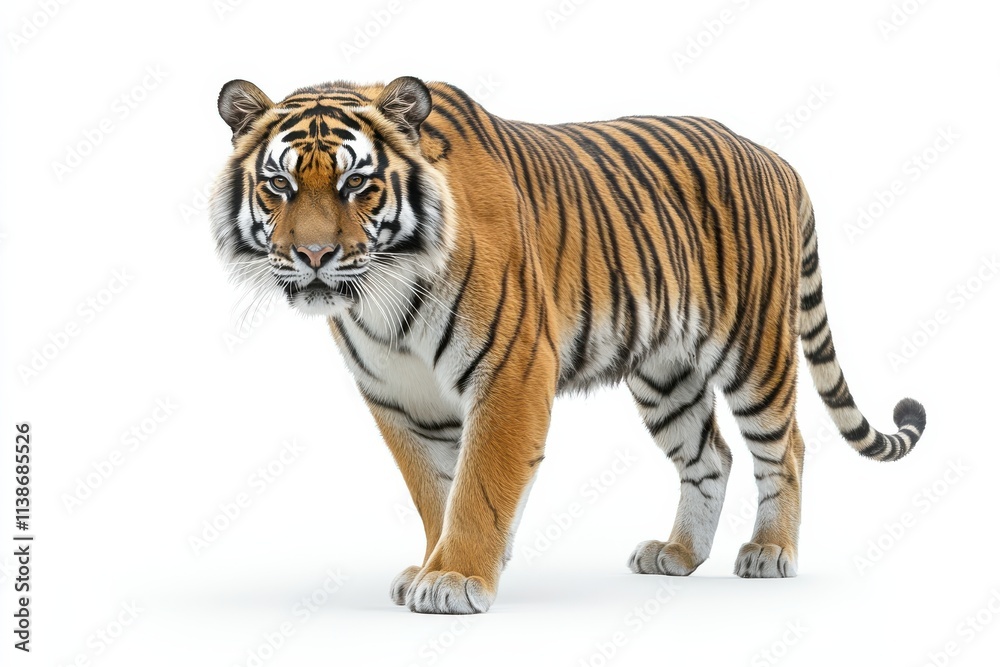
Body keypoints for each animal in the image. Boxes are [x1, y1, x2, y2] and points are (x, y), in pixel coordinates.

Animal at [209, 75, 927, 614]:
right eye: (279, 185)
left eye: (357, 183)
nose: (313, 256)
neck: (382, 296)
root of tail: (777, 159)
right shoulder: (398, 399)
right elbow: (435, 492)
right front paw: (433, 565)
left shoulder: (510, 371)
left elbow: (479, 486)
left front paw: (455, 578)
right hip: (665, 374)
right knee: (711, 455)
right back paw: (678, 555)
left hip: (755, 350)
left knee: (786, 447)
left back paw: (771, 552)